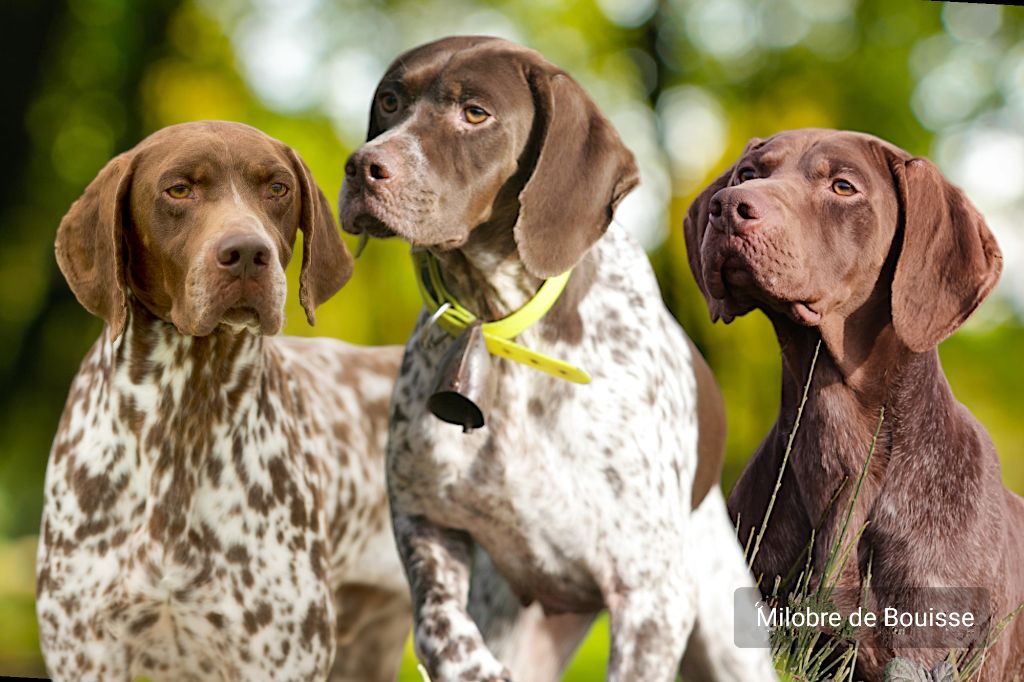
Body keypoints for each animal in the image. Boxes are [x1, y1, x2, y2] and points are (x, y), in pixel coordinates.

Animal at [37, 119, 411, 675]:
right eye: (178, 190)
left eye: (277, 188)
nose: (248, 254)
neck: (184, 410)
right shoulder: (85, 654)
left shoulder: (279, 657)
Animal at [339, 37, 770, 679]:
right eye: (390, 101)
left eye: (475, 113)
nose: (362, 166)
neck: (500, 325)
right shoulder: (426, 520)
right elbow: (438, 629)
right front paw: (477, 668)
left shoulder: (651, 598)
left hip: (725, 635)